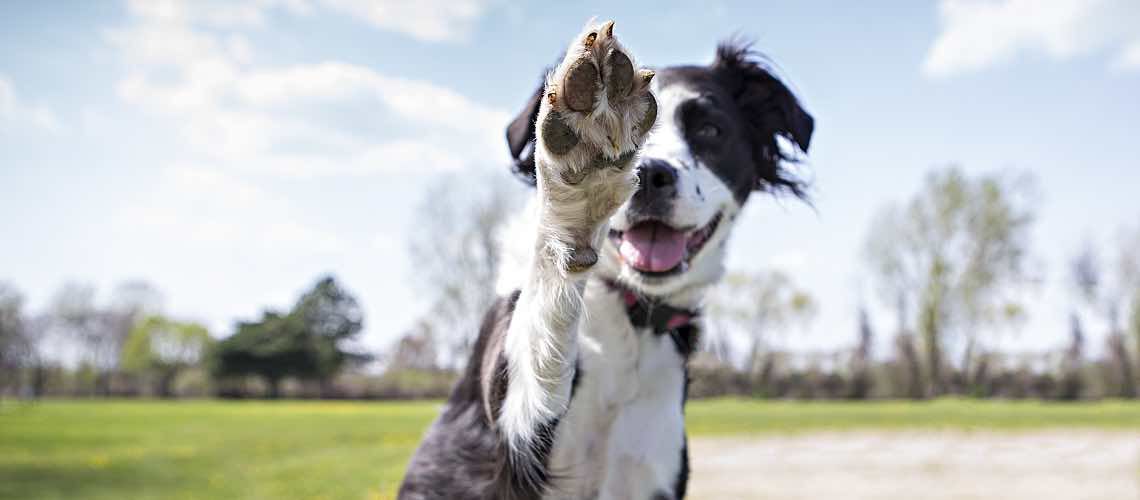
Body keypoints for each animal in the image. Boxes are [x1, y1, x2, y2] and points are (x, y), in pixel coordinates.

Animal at [399, 19, 811, 500]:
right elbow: (540, 336)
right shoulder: (510, 446)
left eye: (710, 130)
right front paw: (584, 168)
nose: (651, 175)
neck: (629, 318)